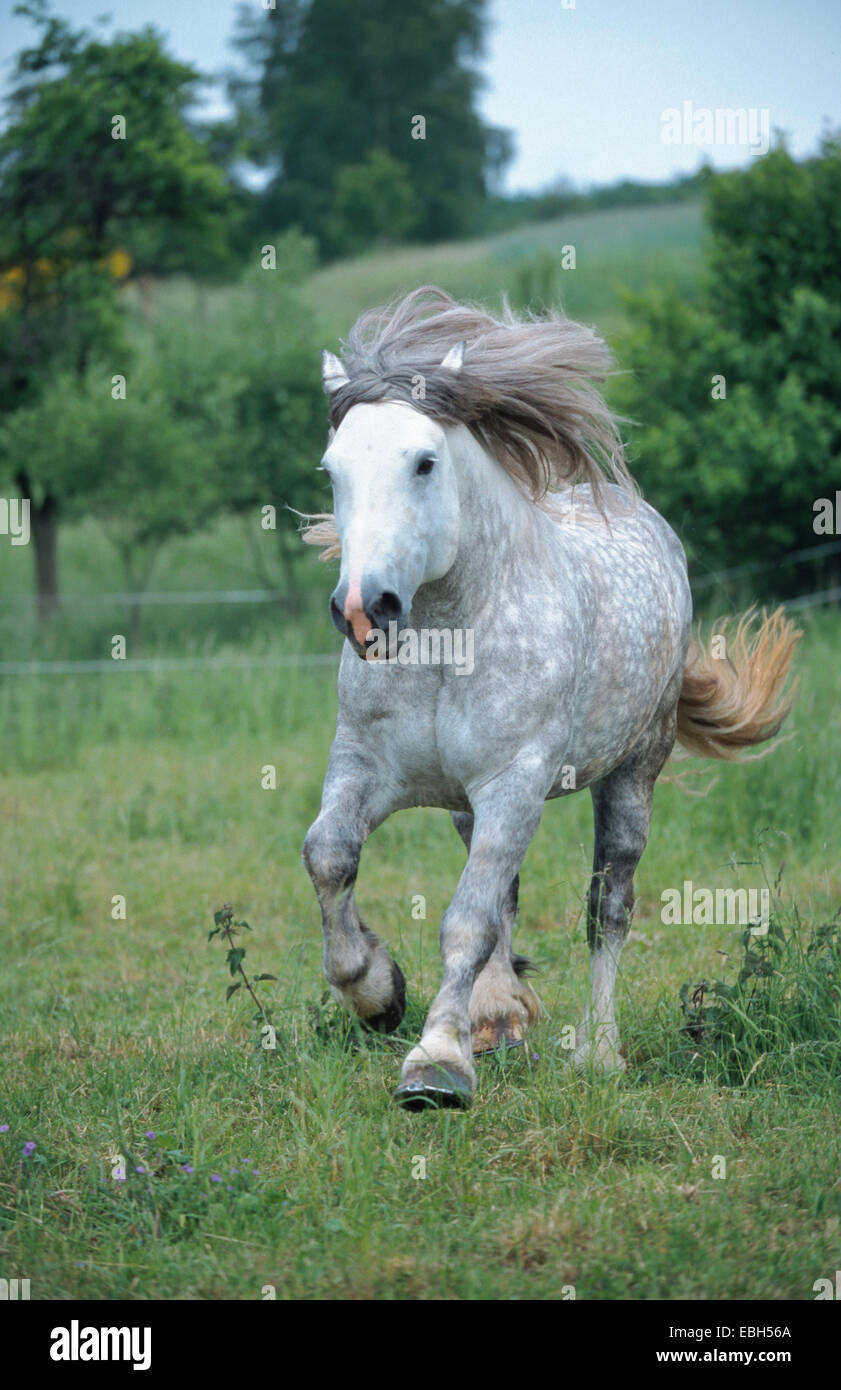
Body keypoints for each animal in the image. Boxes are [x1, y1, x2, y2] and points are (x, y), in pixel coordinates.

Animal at [300, 287, 795, 1112]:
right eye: (332, 468)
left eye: (424, 462)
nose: (366, 610)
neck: (451, 643)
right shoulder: (367, 765)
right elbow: (331, 859)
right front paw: (378, 993)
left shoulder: (515, 783)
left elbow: (467, 921)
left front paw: (435, 1064)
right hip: (469, 806)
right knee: (505, 896)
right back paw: (499, 1017)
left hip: (631, 774)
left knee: (607, 910)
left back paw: (598, 1052)